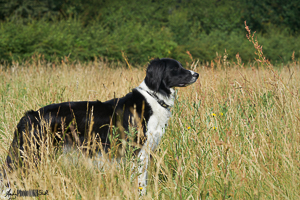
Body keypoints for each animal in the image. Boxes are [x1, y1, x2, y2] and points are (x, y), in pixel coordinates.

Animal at [4, 57, 199, 194]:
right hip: (31, 154)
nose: (196, 74)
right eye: (175, 68)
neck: (153, 98)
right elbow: (140, 181)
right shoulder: (139, 150)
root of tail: (30, 115)